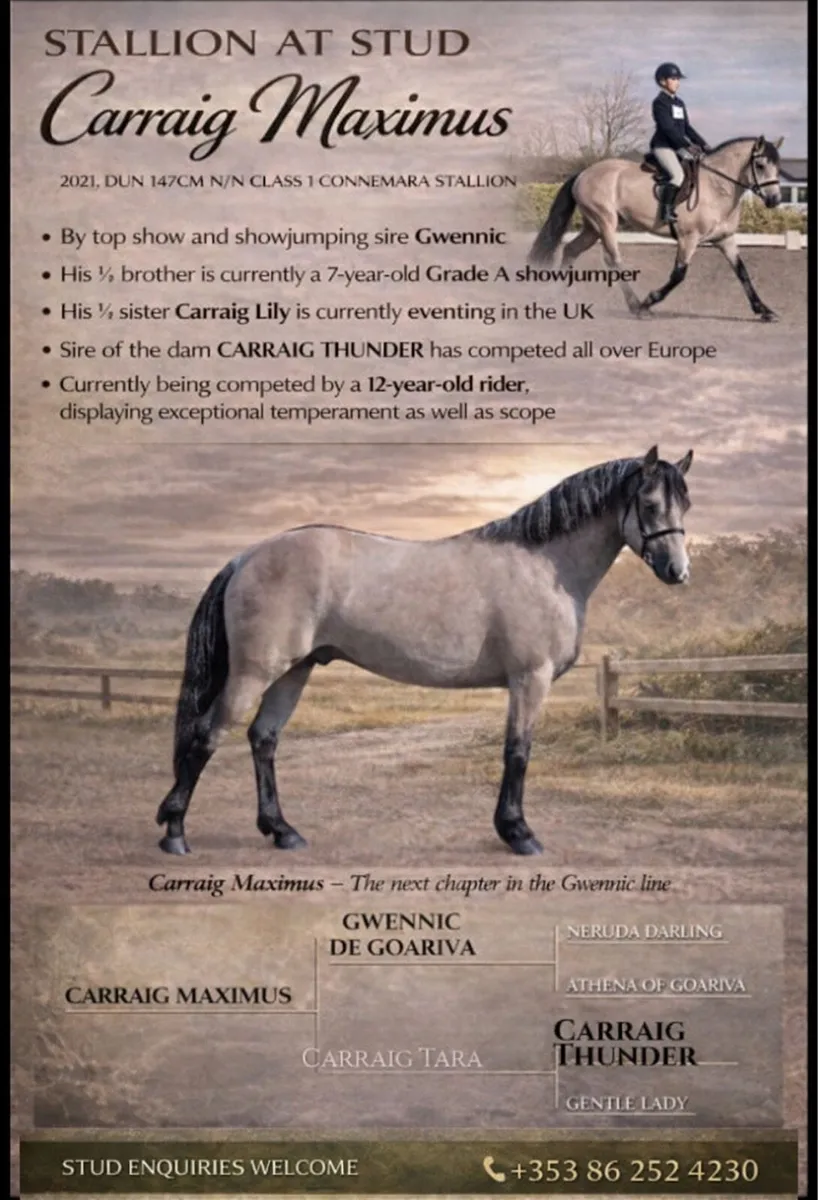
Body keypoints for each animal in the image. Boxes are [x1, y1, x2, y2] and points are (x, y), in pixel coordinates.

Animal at [156, 446, 693, 858]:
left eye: (684, 506)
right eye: (648, 504)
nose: (678, 572)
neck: (545, 566)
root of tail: (246, 556)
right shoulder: (530, 678)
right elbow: (517, 752)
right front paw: (518, 834)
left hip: (294, 670)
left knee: (263, 739)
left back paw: (282, 831)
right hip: (256, 671)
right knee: (206, 736)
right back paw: (175, 834)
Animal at [528, 136, 784, 321]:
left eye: (777, 168)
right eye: (760, 165)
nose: (774, 200)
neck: (717, 187)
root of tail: (584, 173)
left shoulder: (725, 239)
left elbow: (742, 272)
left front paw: (764, 310)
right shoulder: (688, 239)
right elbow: (678, 275)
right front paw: (650, 300)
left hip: (592, 228)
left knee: (571, 249)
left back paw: (557, 294)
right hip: (604, 221)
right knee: (613, 259)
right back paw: (637, 307)